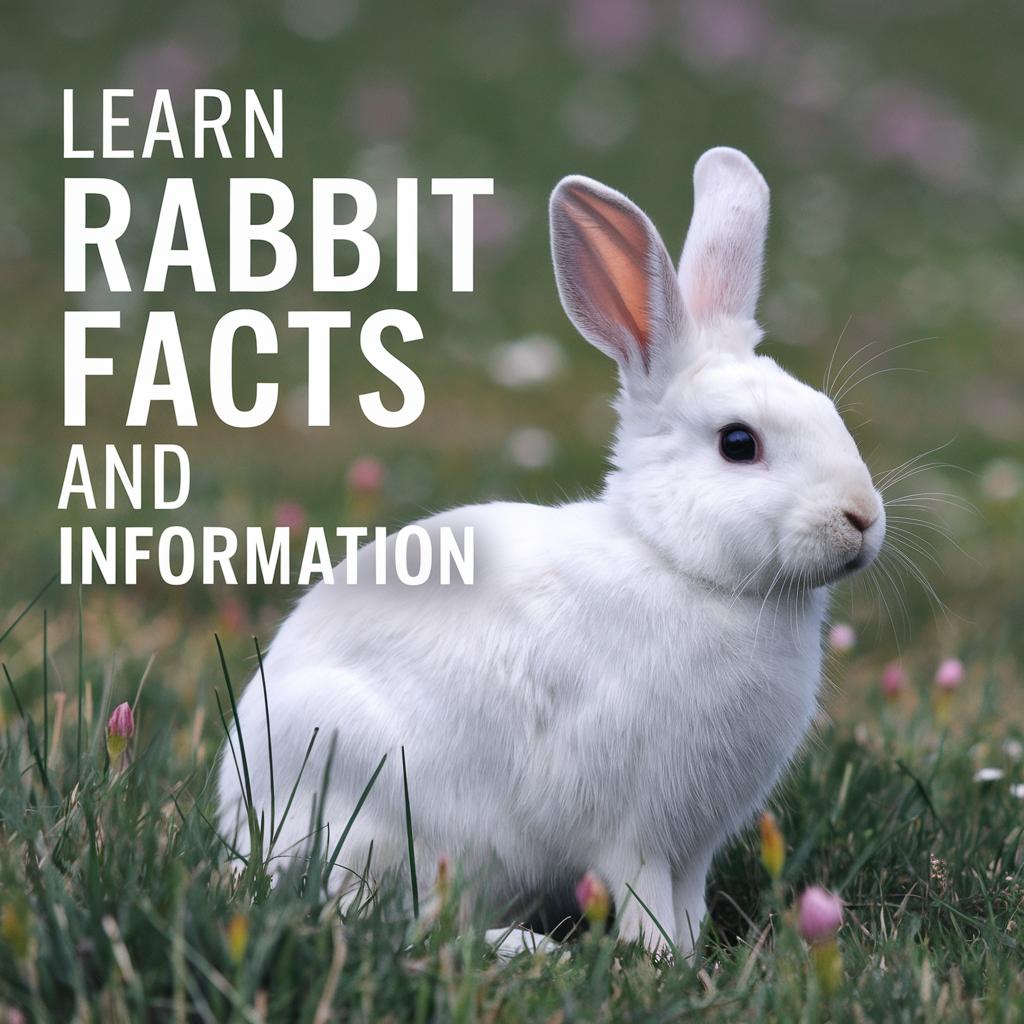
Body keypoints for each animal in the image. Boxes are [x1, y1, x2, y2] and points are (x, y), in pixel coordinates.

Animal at [217, 147, 885, 956]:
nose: (862, 518)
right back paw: (529, 948)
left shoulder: (694, 840)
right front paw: (662, 958)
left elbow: (688, 896)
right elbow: (642, 895)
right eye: (738, 443)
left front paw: (697, 952)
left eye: (828, 412)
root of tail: (237, 827)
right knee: (391, 922)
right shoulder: (634, 825)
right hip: (375, 800)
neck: (678, 563)